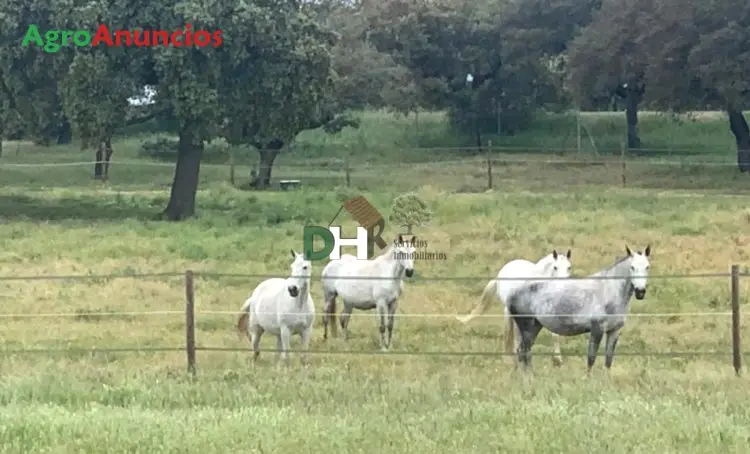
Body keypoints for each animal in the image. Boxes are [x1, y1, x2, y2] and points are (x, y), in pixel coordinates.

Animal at [508, 247, 648, 370]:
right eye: (632, 267)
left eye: (647, 267)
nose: (640, 292)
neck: (607, 290)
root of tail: (512, 293)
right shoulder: (597, 329)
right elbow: (591, 358)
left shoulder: (614, 331)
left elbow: (608, 360)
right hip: (527, 328)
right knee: (524, 352)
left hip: (535, 327)